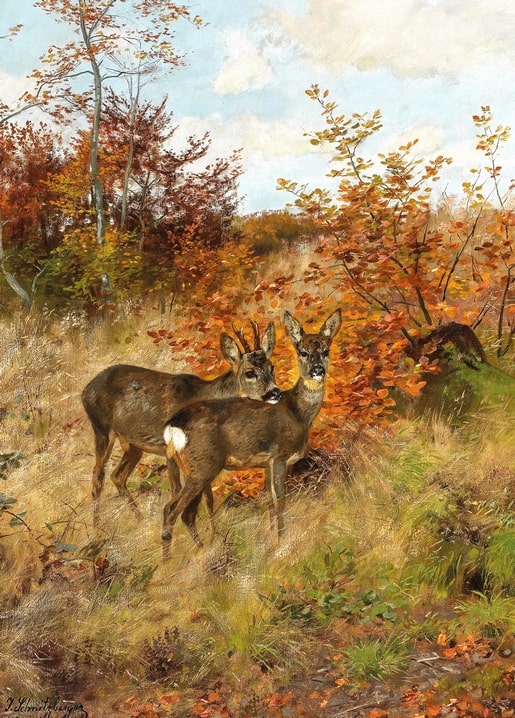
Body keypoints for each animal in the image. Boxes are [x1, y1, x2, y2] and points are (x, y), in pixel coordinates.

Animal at [81, 321, 281, 521]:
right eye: (249, 372)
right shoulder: (174, 450)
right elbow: (185, 493)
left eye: (271, 368)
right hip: (101, 428)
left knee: (117, 476)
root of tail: (86, 390)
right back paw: (98, 526)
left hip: (132, 445)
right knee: (98, 475)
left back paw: (139, 519)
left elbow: (206, 498)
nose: (275, 392)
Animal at [161, 308, 342, 550]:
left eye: (325, 350)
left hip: (185, 467)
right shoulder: (280, 456)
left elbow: (268, 500)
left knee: (177, 510)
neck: (297, 413)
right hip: (202, 467)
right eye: (302, 352)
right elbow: (281, 499)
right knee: (174, 511)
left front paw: (270, 538)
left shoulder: (267, 463)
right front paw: (281, 540)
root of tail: (172, 427)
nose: (317, 370)